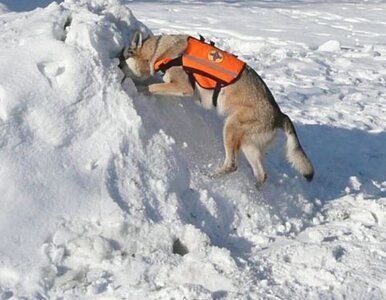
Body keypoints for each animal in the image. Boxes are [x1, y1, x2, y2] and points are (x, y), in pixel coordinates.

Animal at [121, 32, 314, 188]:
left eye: (121, 58)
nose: (116, 65)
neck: (160, 50)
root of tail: (280, 115)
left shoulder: (183, 87)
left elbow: (151, 86)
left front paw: (135, 88)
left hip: (230, 128)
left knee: (232, 165)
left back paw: (209, 176)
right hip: (248, 146)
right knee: (261, 175)